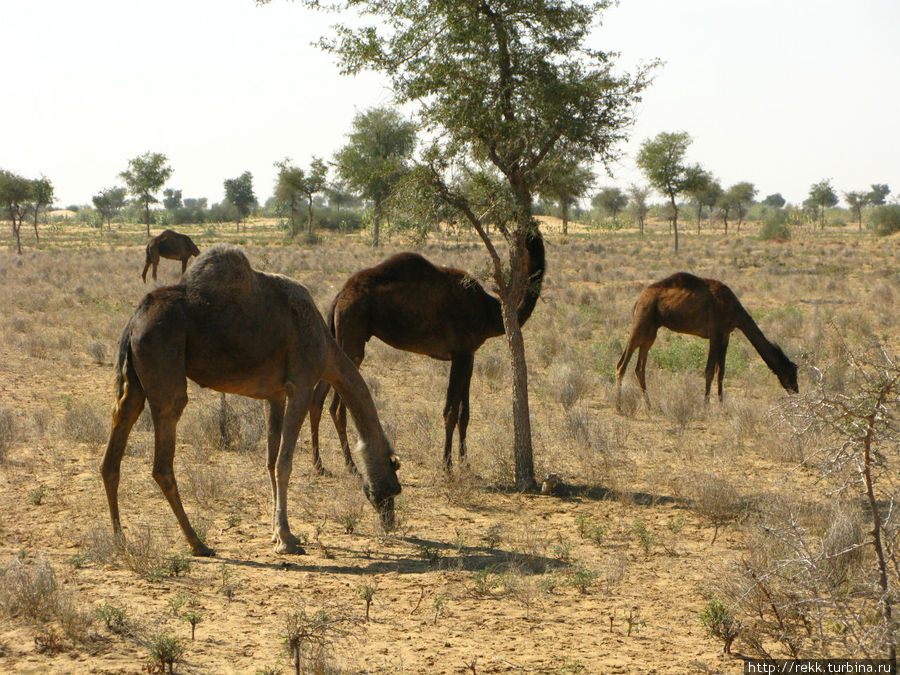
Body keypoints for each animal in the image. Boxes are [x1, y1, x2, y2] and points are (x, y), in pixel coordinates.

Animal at [103, 244, 400, 556]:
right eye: (395, 486)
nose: (389, 521)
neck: (325, 344)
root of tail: (133, 322)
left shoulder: (275, 394)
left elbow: (270, 460)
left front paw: (275, 532)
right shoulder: (301, 385)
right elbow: (284, 463)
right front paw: (287, 540)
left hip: (134, 382)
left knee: (114, 448)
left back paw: (120, 539)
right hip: (163, 364)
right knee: (162, 461)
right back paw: (198, 543)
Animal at [310, 232, 548, 476]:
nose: (532, 236)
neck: (490, 313)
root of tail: (339, 296)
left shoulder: (469, 354)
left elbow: (464, 413)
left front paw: (465, 464)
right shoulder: (460, 353)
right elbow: (450, 411)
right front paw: (447, 466)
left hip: (339, 340)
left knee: (318, 399)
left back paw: (320, 464)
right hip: (352, 336)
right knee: (338, 407)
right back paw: (352, 466)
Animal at [616, 272, 800, 410]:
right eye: (791, 374)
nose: (796, 391)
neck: (735, 312)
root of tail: (638, 300)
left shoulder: (725, 335)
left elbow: (721, 371)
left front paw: (721, 403)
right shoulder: (715, 334)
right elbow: (709, 371)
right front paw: (705, 405)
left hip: (651, 332)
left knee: (639, 368)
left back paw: (649, 405)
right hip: (641, 321)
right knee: (621, 364)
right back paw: (619, 406)